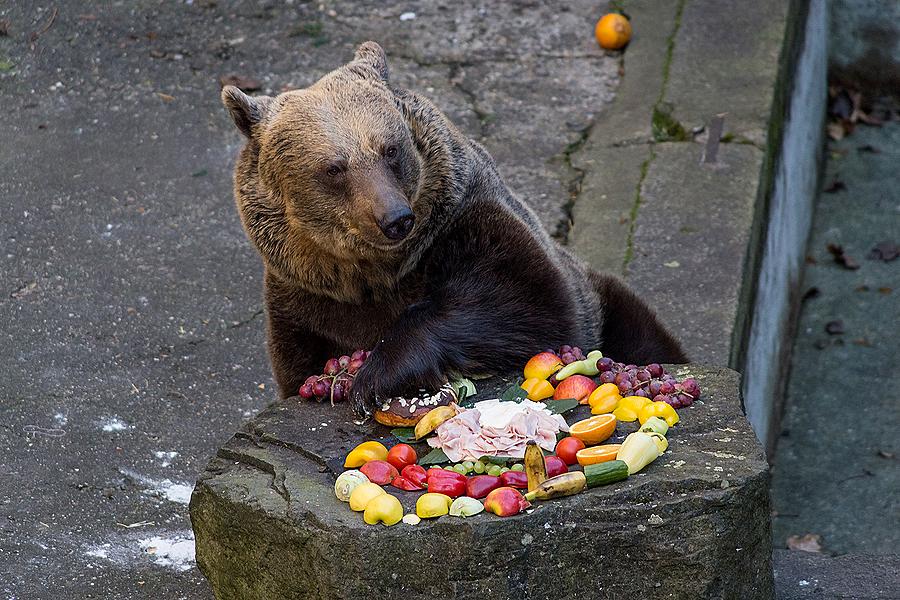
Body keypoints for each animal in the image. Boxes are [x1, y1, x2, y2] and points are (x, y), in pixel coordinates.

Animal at [221, 39, 684, 414]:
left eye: (391, 149)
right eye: (335, 168)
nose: (396, 219)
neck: (373, 274)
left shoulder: (464, 226)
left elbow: (528, 302)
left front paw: (376, 375)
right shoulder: (305, 300)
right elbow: (300, 364)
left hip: (609, 307)